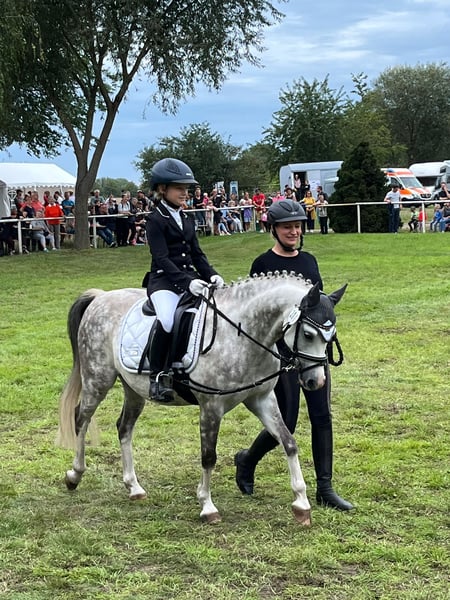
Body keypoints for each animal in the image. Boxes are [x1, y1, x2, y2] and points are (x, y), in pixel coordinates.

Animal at [57, 272, 346, 526]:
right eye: (308, 334)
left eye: (331, 337)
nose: (316, 382)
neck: (242, 334)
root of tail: (100, 297)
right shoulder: (211, 407)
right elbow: (208, 456)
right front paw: (207, 507)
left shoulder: (262, 400)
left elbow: (288, 443)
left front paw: (301, 504)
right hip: (98, 380)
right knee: (81, 419)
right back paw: (74, 475)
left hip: (134, 390)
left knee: (124, 427)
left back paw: (134, 487)